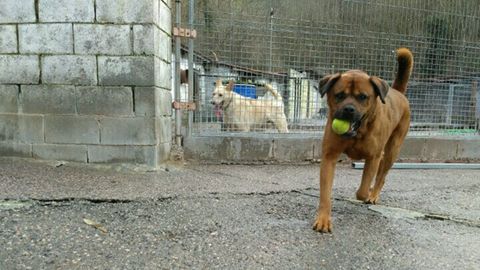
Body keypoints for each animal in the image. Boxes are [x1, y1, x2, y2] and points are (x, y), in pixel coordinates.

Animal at [314, 47, 414, 232]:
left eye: (362, 97)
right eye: (339, 95)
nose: (348, 109)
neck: (357, 132)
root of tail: (398, 92)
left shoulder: (373, 157)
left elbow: (362, 190)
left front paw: (366, 193)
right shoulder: (329, 156)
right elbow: (325, 192)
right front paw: (323, 219)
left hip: (393, 149)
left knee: (382, 175)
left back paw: (373, 195)